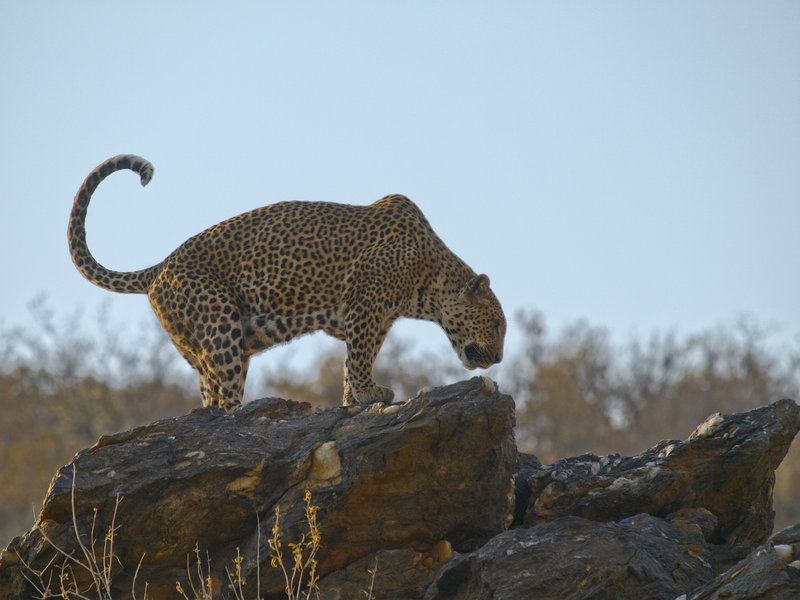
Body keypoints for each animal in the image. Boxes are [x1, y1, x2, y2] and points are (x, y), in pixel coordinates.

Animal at [69, 154, 506, 412]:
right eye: (499, 325)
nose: (500, 358)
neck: (428, 282)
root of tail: (159, 267)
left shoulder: (375, 318)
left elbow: (354, 361)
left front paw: (353, 399)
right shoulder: (366, 308)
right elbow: (359, 356)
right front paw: (369, 394)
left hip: (209, 347)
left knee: (210, 396)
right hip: (221, 325)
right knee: (225, 399)